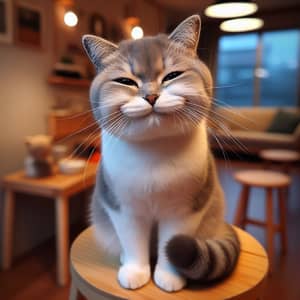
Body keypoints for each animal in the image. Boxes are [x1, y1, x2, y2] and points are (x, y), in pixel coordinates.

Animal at [81, 14, 239, 292]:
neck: (154, 151)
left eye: (172, 76)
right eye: (125, 81)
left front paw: (169, 277)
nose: (151, 96)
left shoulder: (185, 210)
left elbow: (171, 244)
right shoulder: (124, 209)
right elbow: (133, 243)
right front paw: (135, 272)